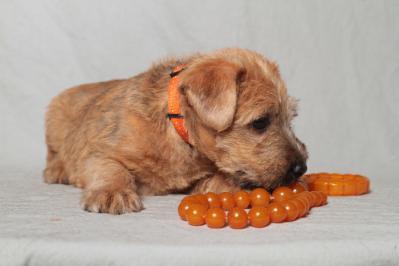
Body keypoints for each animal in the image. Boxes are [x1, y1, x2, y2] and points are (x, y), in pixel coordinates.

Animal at [45, 47, 310, 214]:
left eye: (290, 118)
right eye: (260, 122)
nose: (301, 168)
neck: (178, 132)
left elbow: (217, 179)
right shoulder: (99, 151)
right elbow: (110, 168)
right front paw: (112, 193)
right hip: (55, 118)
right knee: (53, 155)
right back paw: (58, 170)